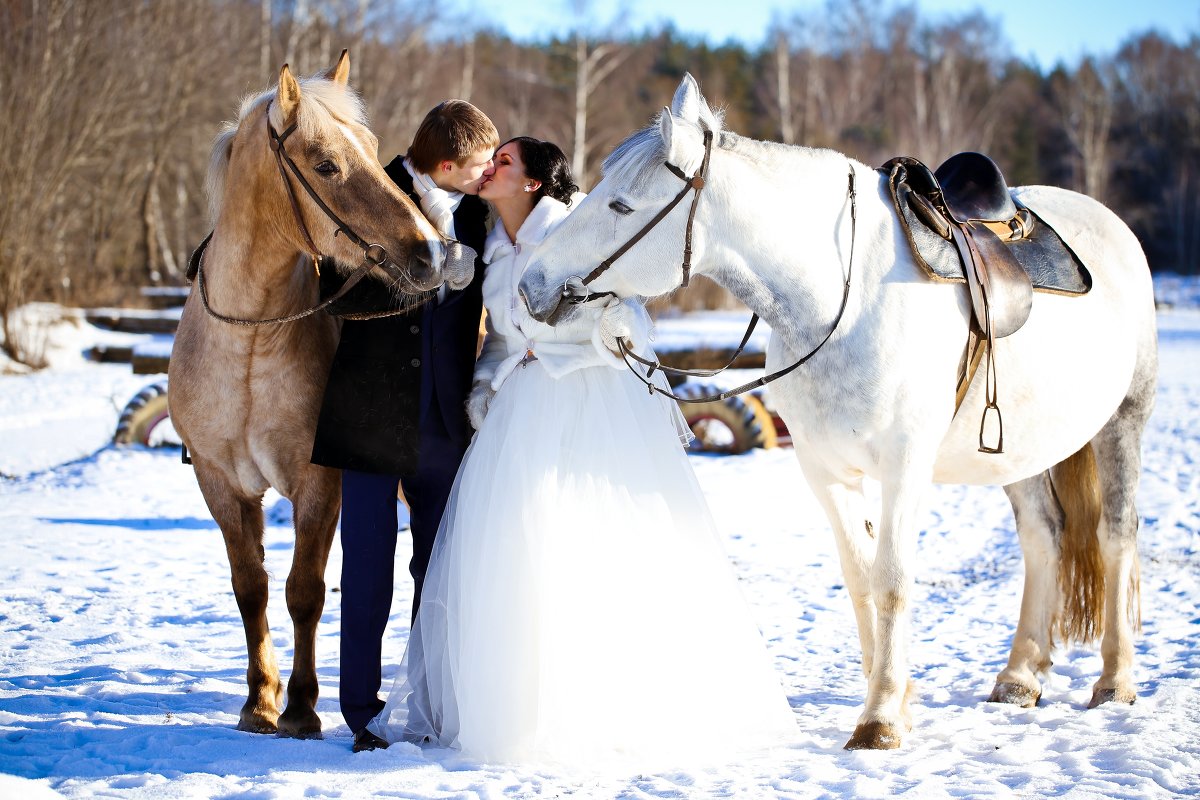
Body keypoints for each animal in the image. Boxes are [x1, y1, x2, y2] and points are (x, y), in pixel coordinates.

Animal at [171, 51, 470, 738]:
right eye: (326, 164)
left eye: (374, 149)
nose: (431, 254)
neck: (252, 341)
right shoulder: (220, 483)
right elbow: (250, 588)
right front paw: (260, 701)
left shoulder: (319, 481)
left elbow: (305, 590)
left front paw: (303, 708)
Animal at [520, 73, 1156, 753]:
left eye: (620, 206)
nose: (530, 286)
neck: (844, 300)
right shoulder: (823, 468)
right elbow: (859, 579)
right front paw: (895, 698)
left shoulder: (905, 464)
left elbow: (892, 580)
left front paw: (880, 720)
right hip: (1019, 452)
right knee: (1044, 537)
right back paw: (1019, 676)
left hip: (1124, 422)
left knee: (1116, 535)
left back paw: (1115, 681)